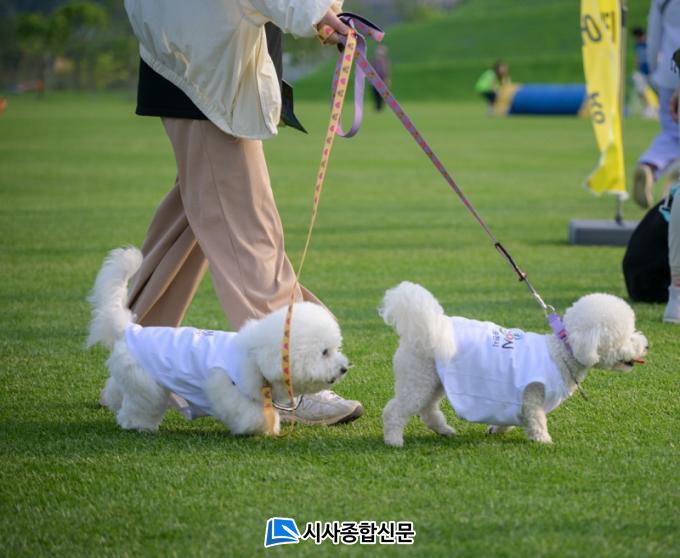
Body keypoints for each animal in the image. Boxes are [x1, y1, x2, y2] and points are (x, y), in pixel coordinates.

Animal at [87, 247, 350, 435]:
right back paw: (138, 425)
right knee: (138, 407)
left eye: (335, 349)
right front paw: (263, 426)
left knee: (118, 389)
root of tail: (129, 328)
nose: (344, 368)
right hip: (148, 386)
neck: (255, 356)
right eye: (324, 352)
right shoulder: (226, 388)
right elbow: (249, 412)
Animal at [380, 281, 647, 446]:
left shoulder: (513, 399)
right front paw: (543, 440)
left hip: (433, 379)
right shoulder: (532, 394)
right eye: (624, 335)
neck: (562, 351)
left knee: (426, 409)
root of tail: (420, 327)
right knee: (396, 410)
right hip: (418, 377)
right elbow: (536, 418)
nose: (645, 346)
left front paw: (497, 430)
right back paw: (393, 440)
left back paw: (443, 430)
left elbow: (509, 418)